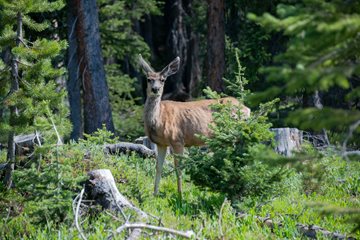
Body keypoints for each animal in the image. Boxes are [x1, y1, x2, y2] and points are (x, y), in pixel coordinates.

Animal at [138, 54, 250, 197]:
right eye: (149, 79)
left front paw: (180, 195)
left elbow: (178, 168)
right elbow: (158, 167)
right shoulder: (161, 143)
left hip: (233, 133)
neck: (158, 119)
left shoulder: (177, 139)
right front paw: (154, 194)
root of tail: (247, 109)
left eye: (163, 80)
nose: (155, 89)